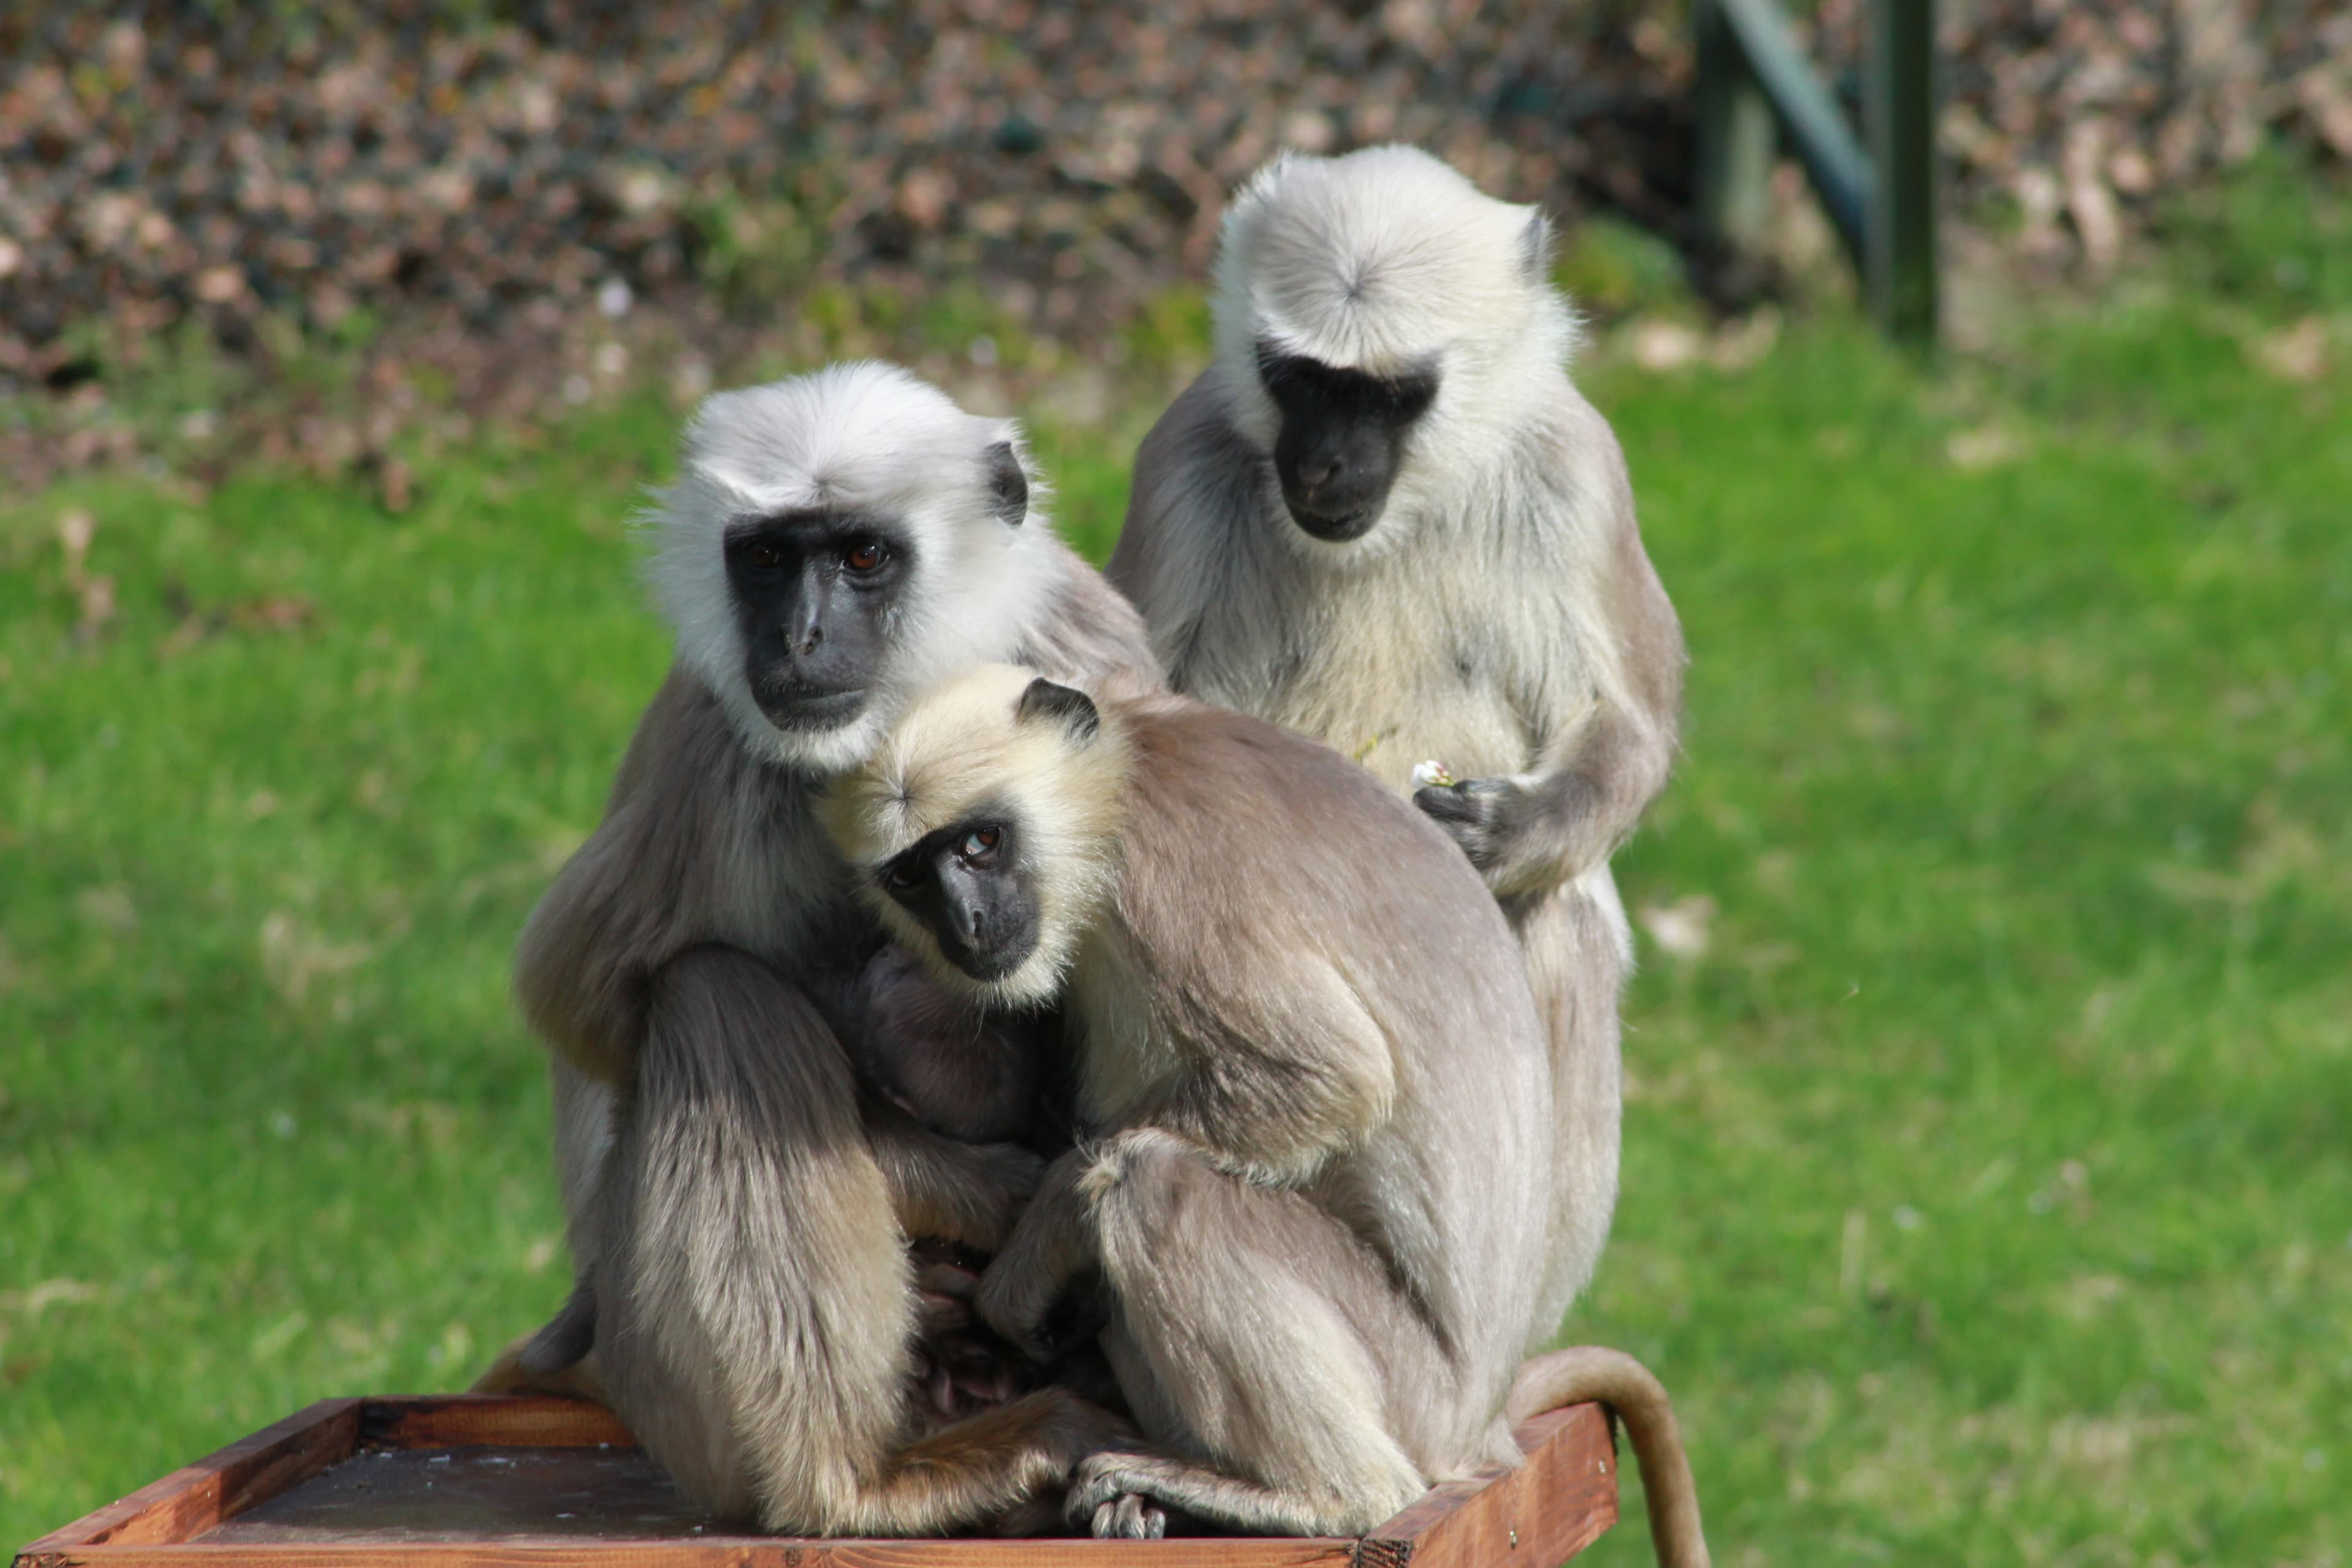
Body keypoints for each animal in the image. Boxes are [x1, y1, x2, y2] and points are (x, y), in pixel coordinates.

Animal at [499, 364, 1166, 1532]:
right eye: (767, 559)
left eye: (861, 557)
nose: (800, 641)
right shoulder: (725, 741)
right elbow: (581, 997)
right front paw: (969, 1184)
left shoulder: (1082, 652)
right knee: (716, 996)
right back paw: (856, 1485)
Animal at [827, 668, 1561, 1542]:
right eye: (913, 876)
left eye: (981, 843)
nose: (967, 921)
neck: (1128, 772)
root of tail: (1481, 1426)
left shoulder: (1167, 874)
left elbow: (1332, 1077)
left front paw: (1035, 1243)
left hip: (1413, 1391)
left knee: (1152, 1183)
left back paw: (1329, 1499)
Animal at [1110, 146, 1703, 1568]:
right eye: (1300, 380)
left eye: (1390, 393)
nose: (1329, 459)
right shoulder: (1186, 461)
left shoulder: (1575, 467)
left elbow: (1634, 729)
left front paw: (1517, 827)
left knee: (1550, 921)